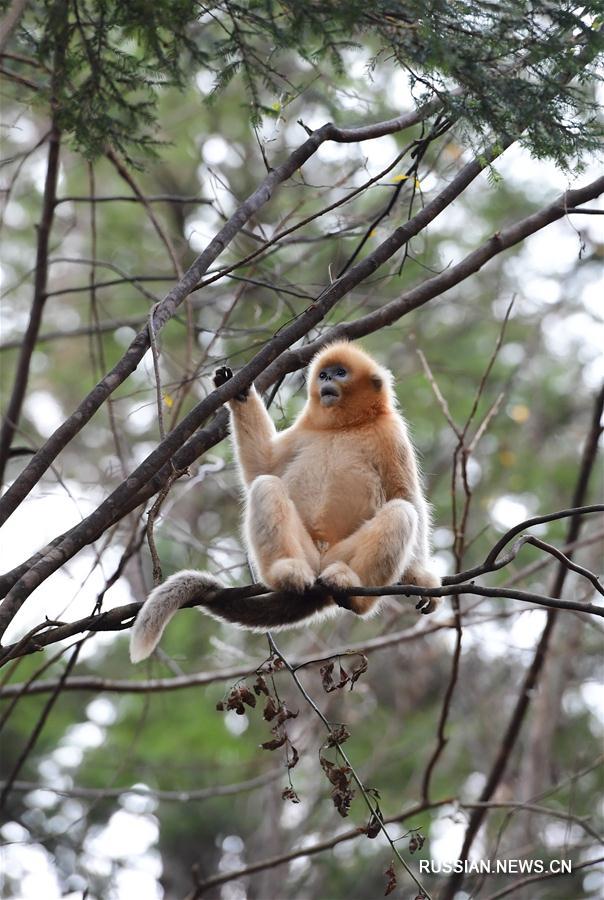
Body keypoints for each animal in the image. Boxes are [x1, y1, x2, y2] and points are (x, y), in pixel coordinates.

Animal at [129, 342, 438, 664]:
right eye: (324, 374)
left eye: (340, 373)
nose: (327, 380)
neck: (343, 426)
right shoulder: (305, 431)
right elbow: (263, 466)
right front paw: (239, 390)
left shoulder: (392, 433)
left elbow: (405, 495)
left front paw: (421, 578)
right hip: (307, 556)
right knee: (266, 485)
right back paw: (287, 572)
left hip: (340, 556)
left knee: (402, 512)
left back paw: (351, 590)